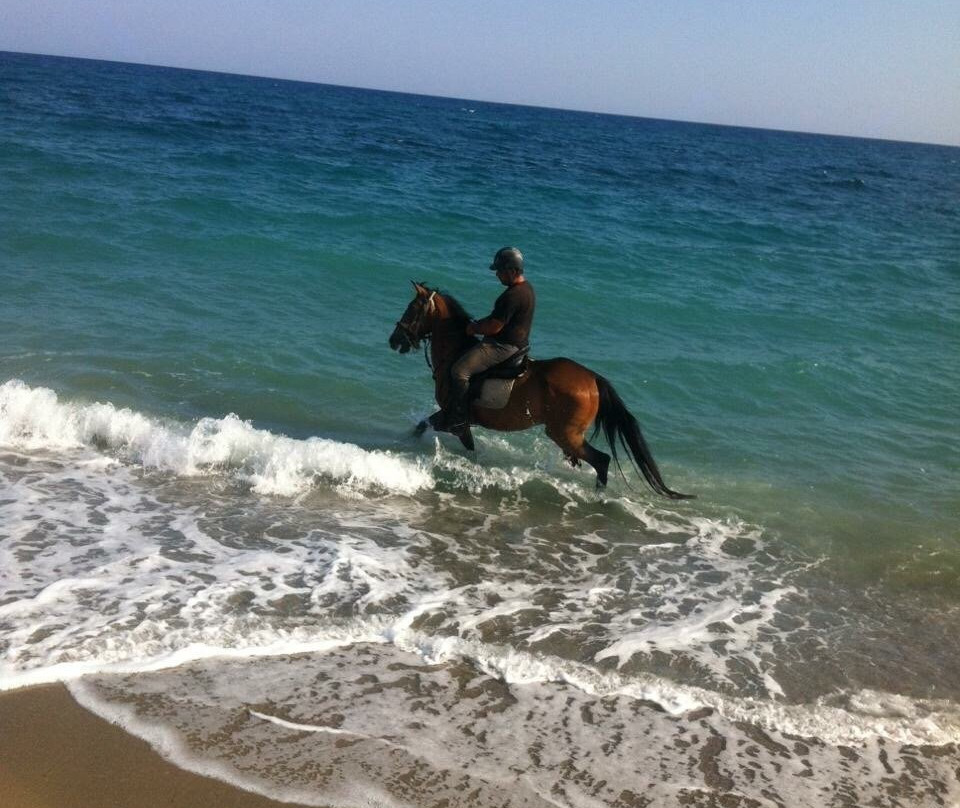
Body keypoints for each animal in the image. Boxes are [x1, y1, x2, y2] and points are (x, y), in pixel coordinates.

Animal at [388, 281, 693, 499]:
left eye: (412, 309)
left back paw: (598, 497)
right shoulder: (458, 422)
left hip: (564, 434)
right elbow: (443, 435)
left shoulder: (454, 418)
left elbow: (428, 427)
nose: (394, 340)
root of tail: (593, 379)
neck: (455, 352)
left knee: (602, 460)